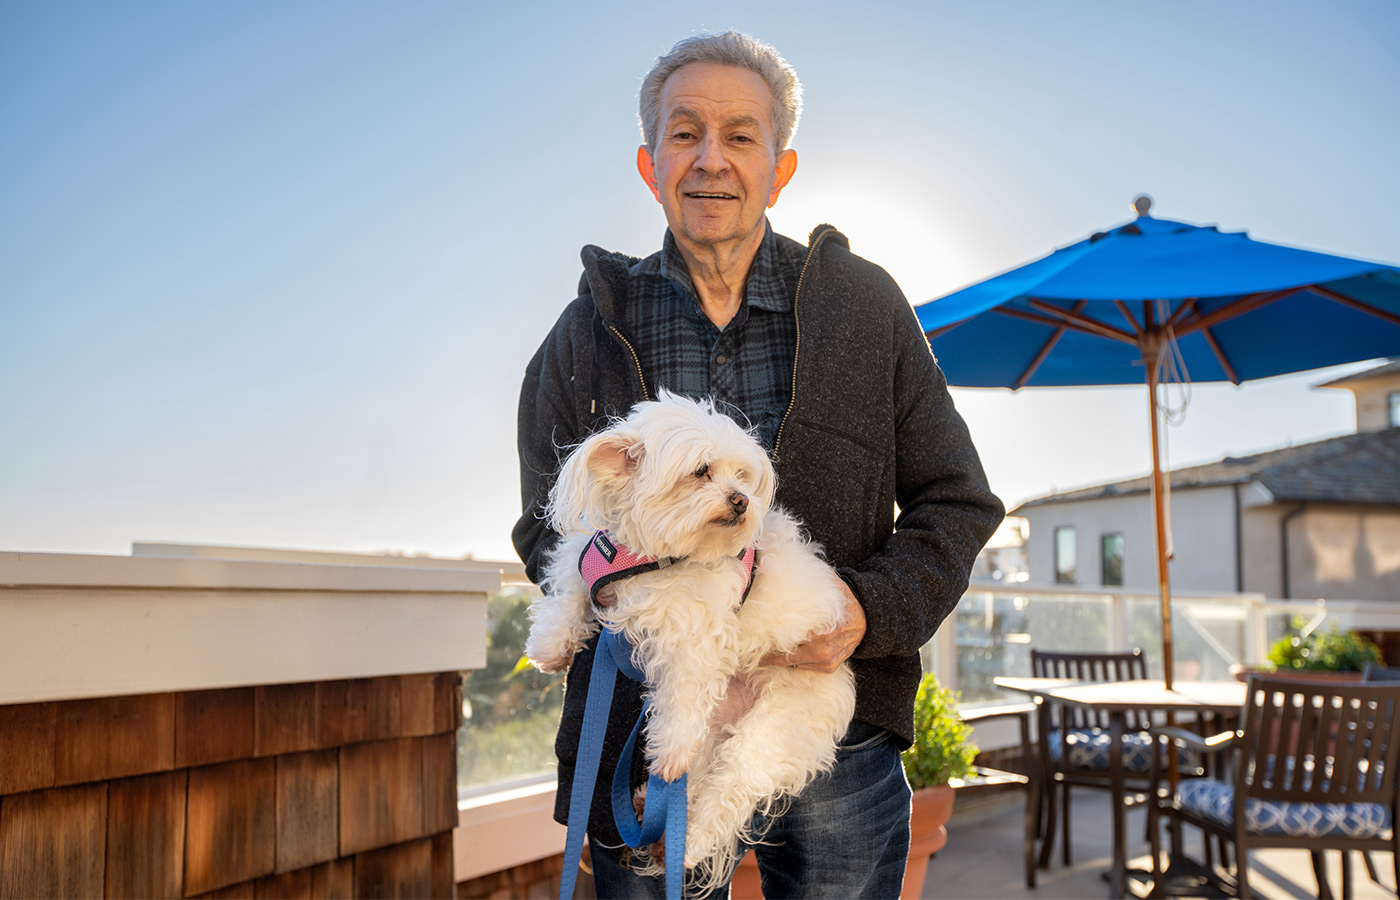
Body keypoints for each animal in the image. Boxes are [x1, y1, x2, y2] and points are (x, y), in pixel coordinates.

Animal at [526, 391, 851, 884]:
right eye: (702, 471)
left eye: (742, 476)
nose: (741, 500)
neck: (655, 556)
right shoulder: (590, 557)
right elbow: (570, 591)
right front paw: (550, 645)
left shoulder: (695, 642)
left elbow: (679, 704)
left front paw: (669, 751)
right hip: (717, 726)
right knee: (696, 778)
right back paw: (653, 816)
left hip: (770, 731)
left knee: (724, 792)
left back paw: (685, 844)